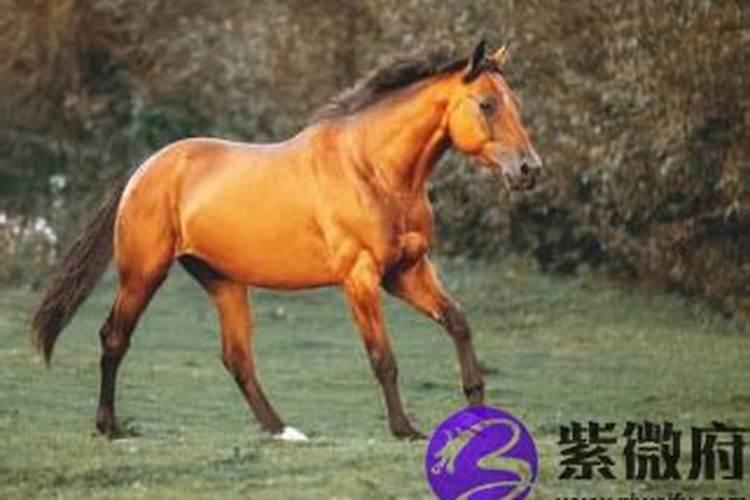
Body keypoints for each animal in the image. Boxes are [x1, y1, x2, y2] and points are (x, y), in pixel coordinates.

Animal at [31, 40, 542, 441]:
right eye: (486, 104)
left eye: (515, 102)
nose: (529, 170)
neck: (373, 169)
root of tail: (145, 170)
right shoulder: (360, 277)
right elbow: (383, 358)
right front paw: (405, 430)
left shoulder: (407, 272)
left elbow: (458, 322)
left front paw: (479, 414)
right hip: (143, 274)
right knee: (115, 337)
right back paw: (109, 426)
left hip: (224, 282)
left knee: (237, 358)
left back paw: (282, 430)